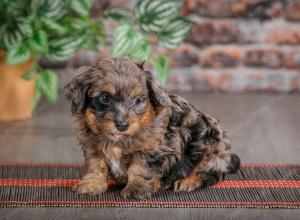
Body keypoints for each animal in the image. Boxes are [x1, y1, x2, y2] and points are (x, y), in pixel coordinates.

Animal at [64, 57, 240, 200]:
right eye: (105, 98)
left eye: (137, 100)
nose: (122, 125)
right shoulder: (92, 145)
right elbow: (96, 165)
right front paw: (91, 183)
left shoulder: (152, 147)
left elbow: (141, 167)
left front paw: (137, 189)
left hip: (210, 148)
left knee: (211, 174)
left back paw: (187, 181)